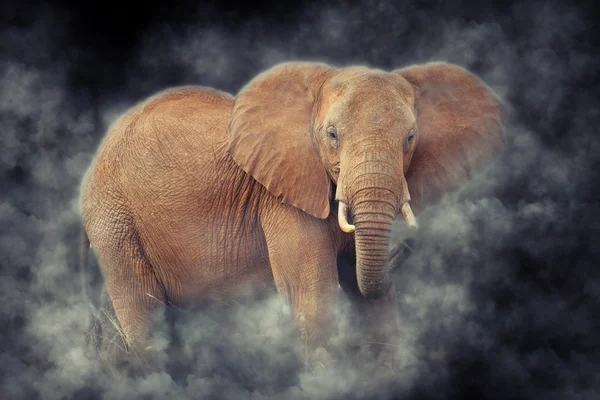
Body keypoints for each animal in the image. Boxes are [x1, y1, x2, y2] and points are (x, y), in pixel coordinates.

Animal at [78, 60, 502, 368]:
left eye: (410, 139)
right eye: (331, 135)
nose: (411, 243)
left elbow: (372, 300)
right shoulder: (280, 199)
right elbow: (312, 298)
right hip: (114, 219)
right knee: (146, 314)